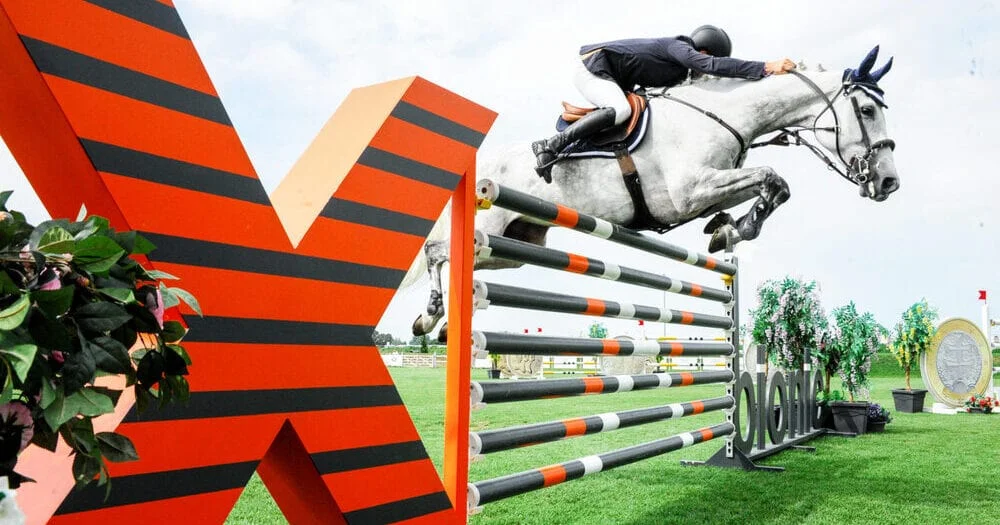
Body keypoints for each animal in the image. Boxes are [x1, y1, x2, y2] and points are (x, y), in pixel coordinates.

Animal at [410, 46, 898, 337]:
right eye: (867, 109)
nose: (889, 182)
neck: (721, 114)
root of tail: (479, 167)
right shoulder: (688, 192)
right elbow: (773, 178)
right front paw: (734, 229)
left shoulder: (706, 188)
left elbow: (769, 187)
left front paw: (727, 229)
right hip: (490, 228)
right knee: (438, 251)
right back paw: (431, 313)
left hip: (515, 245)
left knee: (465, 263)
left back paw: (438, 321)